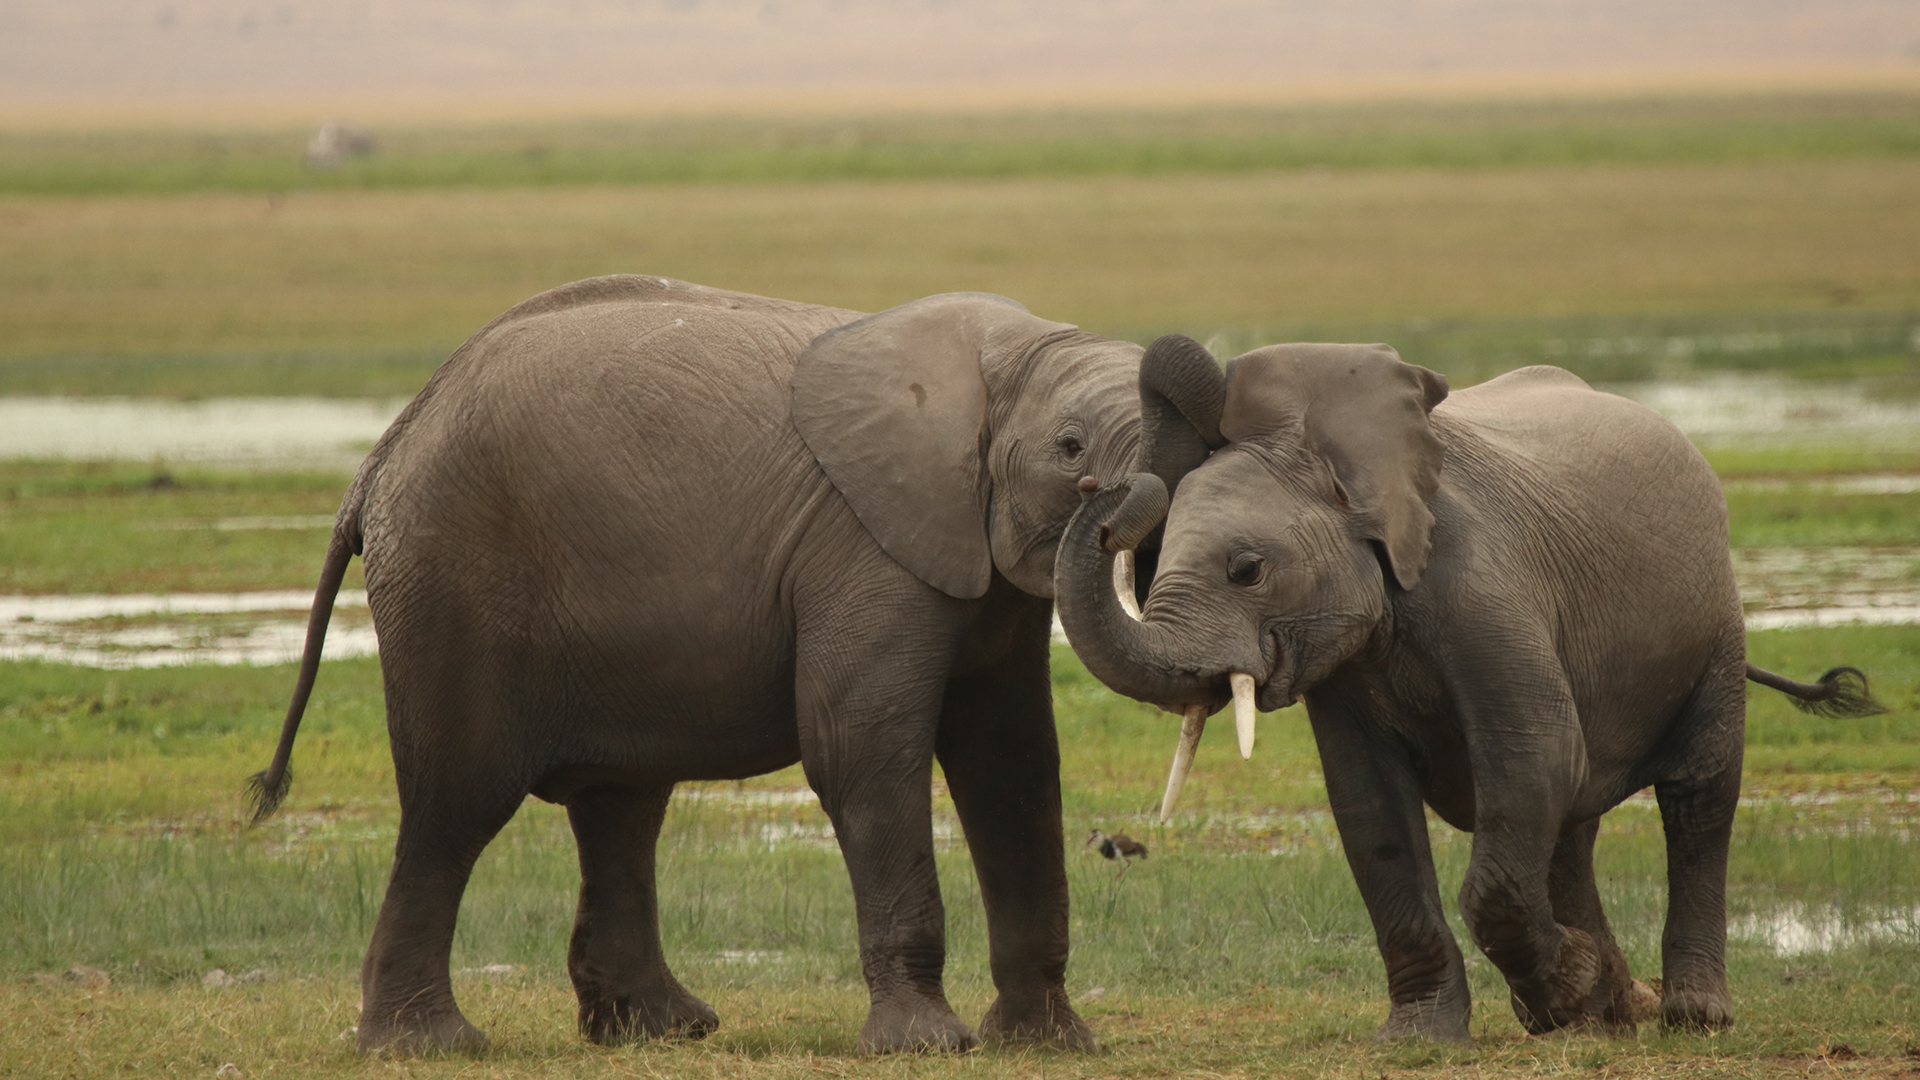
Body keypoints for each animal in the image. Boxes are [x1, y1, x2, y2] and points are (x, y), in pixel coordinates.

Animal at [1059, 334, 1881, 1037]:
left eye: (1247, 569)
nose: (1095, 477)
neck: (1332, 451)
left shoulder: (1483, 586)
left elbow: (1532, 755)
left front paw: (1560, 995)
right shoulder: (1348, 655)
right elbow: (1371, 806)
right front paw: (1428, 1034)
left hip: (1714, 624)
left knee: (1696, 799)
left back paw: (1689, 1017)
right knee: (1570, 828)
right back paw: (1612, 1013)